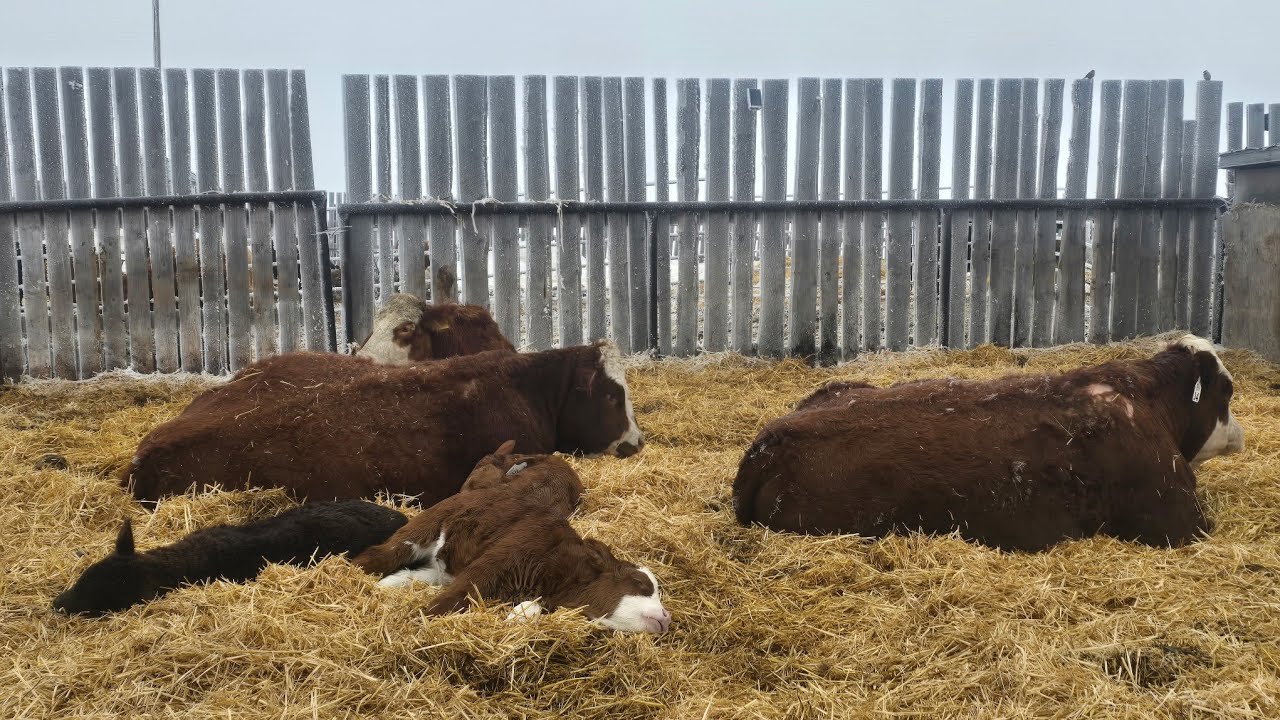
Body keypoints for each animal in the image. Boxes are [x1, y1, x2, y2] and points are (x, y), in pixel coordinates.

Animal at [356, 442, 671, 633]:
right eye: (640, 583)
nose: (667, 616)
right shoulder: (491, 565)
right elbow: (446, 603)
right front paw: (416, 623)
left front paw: (518, 616)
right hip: (424, 527)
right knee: (378, 555)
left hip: (439, 565)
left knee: (411, 574)